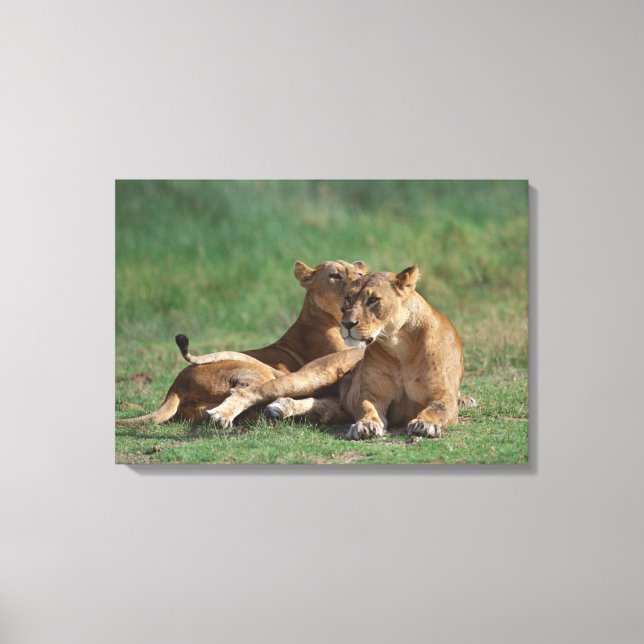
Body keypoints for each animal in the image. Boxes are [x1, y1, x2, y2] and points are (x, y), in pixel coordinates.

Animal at [116, 259, 367, 425]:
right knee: (245, 393)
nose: (361, 281)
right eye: (336, 275)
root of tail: (176, 386)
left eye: (358, 273)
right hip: (257, 373)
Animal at [207, 265, 476, 439]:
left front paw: (424, 423)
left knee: (322, 405)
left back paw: (281, 407)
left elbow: (437, 409)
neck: (399, 346)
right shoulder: (373, 395)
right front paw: (365, 426)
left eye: (373, 300)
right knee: (253, 391)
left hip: (334, 399)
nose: (346, 324)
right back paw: (222, 415)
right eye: (348, 299)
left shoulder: (443, 395)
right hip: (311, 376)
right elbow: (367, 409)